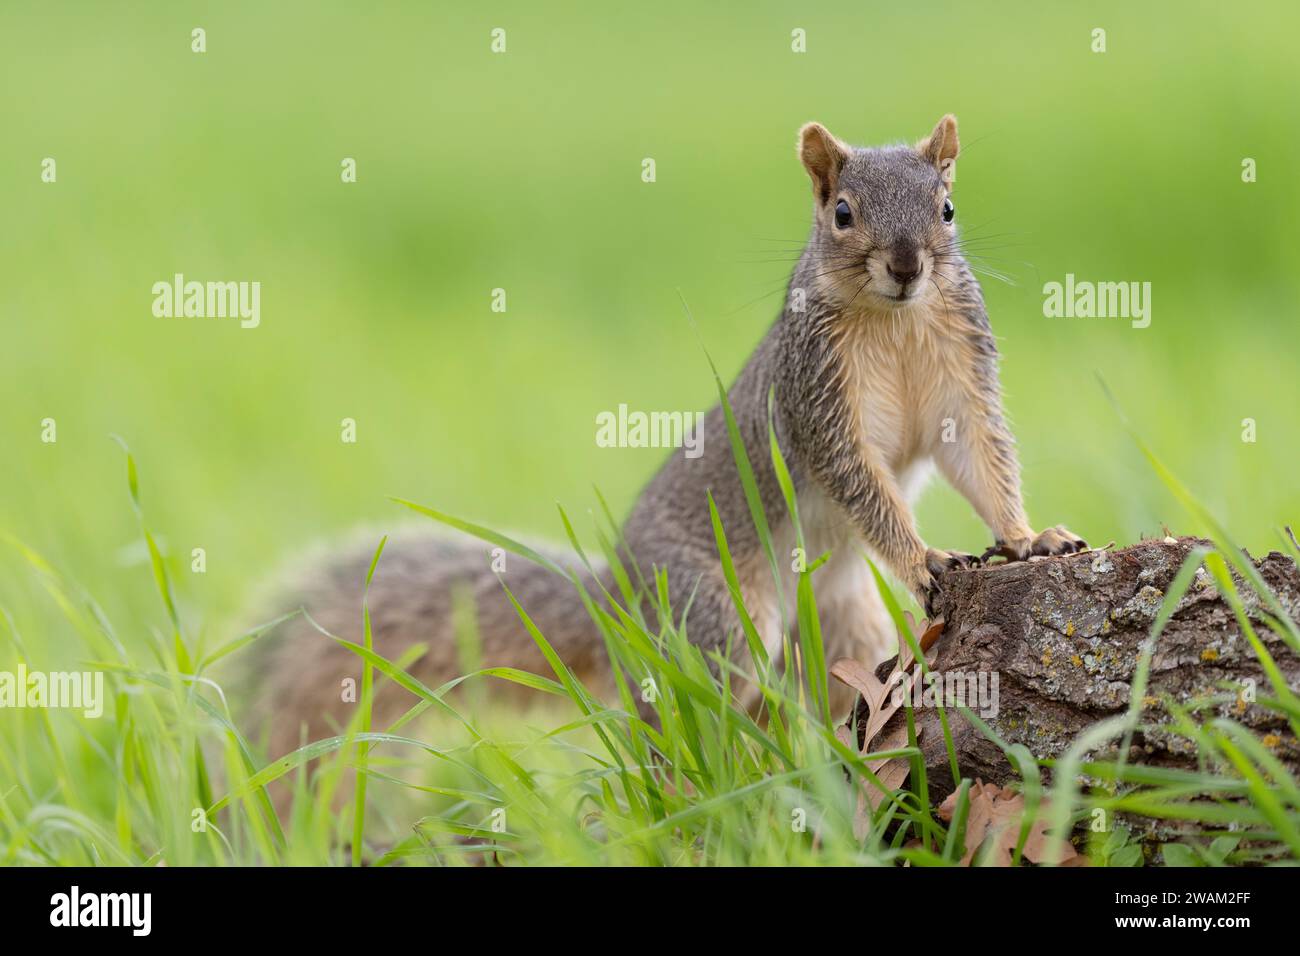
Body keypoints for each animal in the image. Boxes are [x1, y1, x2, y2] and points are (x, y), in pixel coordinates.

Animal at [245, 113, 1086, 754]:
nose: (908, 266)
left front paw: (1029, 537)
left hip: (845, 626)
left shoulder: (960, 379)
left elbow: (981, 459)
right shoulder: (817, 401)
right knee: (685, 710)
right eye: (842, 213)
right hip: (708, 611)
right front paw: (923, 559)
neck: (897, 320)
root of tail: (618, 595)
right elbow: (861, 482)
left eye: (947, 209)